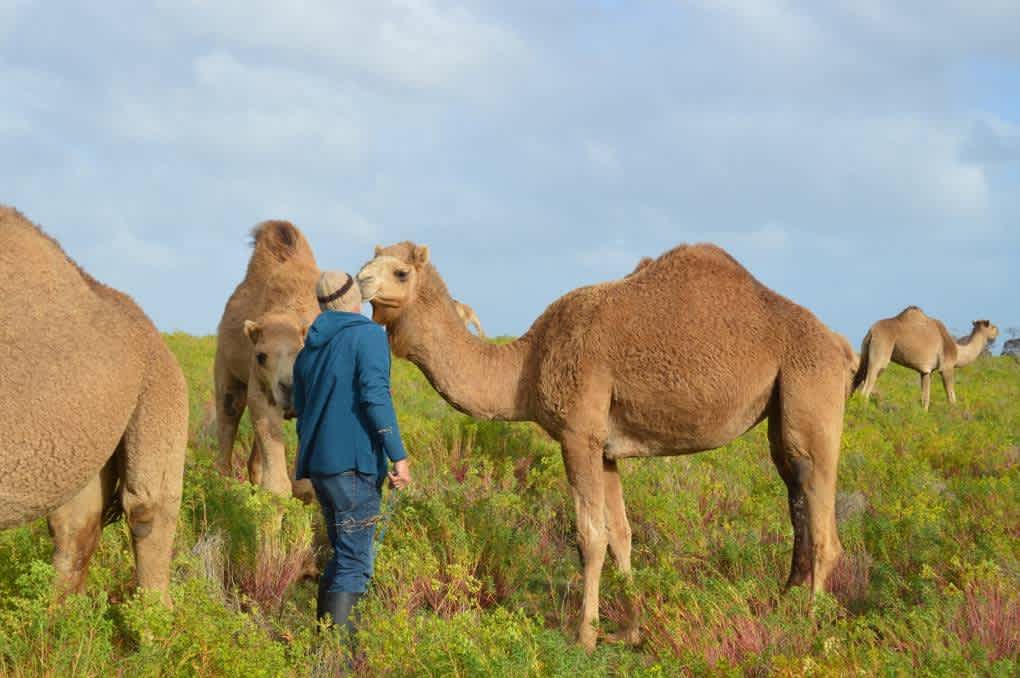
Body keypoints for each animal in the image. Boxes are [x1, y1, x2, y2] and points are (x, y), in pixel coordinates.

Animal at [210, 222, 314, 497]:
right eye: (260, 356)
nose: (291, 388)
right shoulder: (260, 390)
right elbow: (277, 483)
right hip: (226, 372)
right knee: (229, 414)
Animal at [359, 240, 852, 648]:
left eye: (400, 271)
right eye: (371, 261)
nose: (361, 280)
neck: (526, 367)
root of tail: (841, 345)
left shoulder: (579, 435)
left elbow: (590, 537)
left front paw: (585, 636)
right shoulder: (608, 449)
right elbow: (622, 535)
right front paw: (631, 630)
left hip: (813, 390)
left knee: (825, 528)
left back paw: (809, 628)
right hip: (782, 411)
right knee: (797, 496)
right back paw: (783, 607)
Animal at [852, 305, 995, 407]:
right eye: (992, 327)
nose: (997, 332)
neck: (957, 351)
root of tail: (871, 331)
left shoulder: (926, 372)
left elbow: (925, 398)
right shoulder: (947, 367)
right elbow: (951, 396)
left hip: (866, 352)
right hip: (881, 350)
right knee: (867, 386)